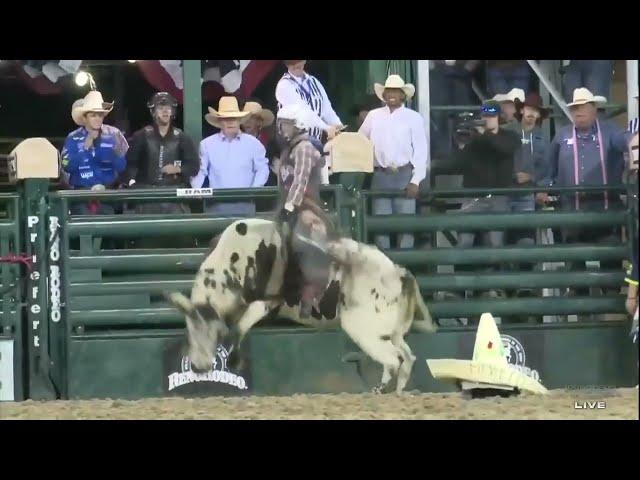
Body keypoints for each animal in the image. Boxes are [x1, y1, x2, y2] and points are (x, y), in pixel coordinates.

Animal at [165, 218, 438, 394]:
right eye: (189, 330)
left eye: (210, 331)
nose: (198, 367)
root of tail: (398, 272)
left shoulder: (266, 302)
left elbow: (242, 325)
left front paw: (234, 358)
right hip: (391, 332)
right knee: (407, 356)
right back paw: (397, 392)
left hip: (365, 331)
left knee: (393, 359)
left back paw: (381, 390)